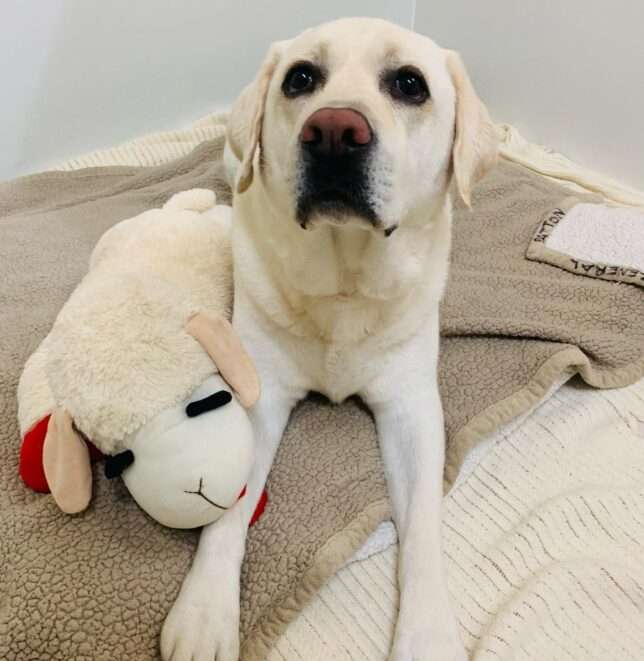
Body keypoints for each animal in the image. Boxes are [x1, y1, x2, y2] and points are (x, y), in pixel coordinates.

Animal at [162, 15, 498, 660]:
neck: (344, 283)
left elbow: (423, 524)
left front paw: (426, 631)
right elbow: (228, 509)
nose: (335, 131)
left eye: (410, 83)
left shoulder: (413, 409)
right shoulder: (259, 392)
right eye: (301, 78)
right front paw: (205, 610)